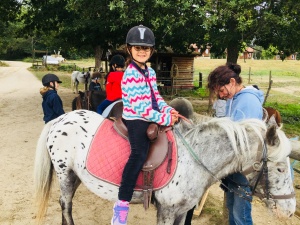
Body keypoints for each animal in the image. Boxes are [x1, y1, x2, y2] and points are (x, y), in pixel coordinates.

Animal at [32, 110, 296, 224]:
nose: (291, 210)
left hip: (75, 175)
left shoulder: (181, 212)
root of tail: (61, 118)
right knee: (66, 205)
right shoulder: (167, 211)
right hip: (65, 174)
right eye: (281, 169)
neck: (194, 160)